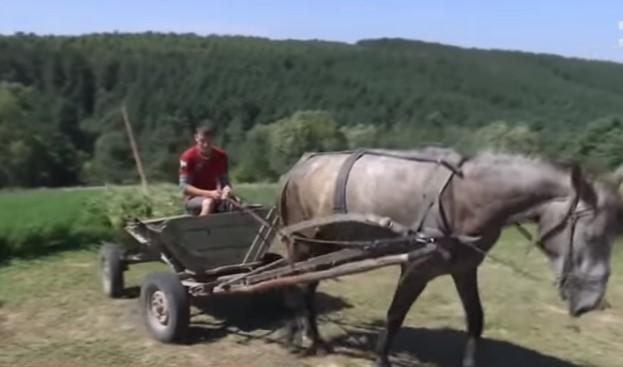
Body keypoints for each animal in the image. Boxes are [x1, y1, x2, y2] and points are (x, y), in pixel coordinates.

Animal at [278, 148, 623, 367]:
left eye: (613, 236)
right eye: (591, 235)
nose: (591, 302)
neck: (463, 200)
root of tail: (300, 166)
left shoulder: (464, 269)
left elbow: (476, 320)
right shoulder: (415, 266)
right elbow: (394, 316)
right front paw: (382, 359)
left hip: (326, 246)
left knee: (307, 286)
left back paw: (311, 338)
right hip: (305, 242)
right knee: (295, 283)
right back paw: (299, 337)